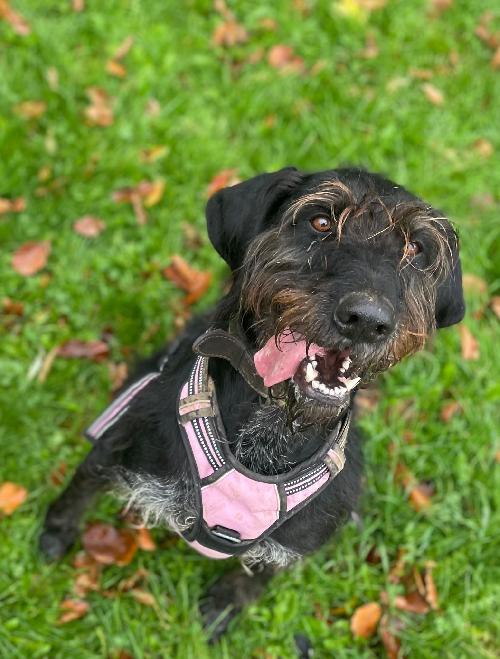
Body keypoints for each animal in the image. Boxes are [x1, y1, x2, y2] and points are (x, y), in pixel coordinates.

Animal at [40, 167, 464, 641]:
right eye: (320, 221)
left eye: (416, 247)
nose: (367, 320)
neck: (271, 427)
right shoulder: (115, 446)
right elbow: (78, 491)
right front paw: (55, 534)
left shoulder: (292, 543)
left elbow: (253, 578)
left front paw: (224, 607)